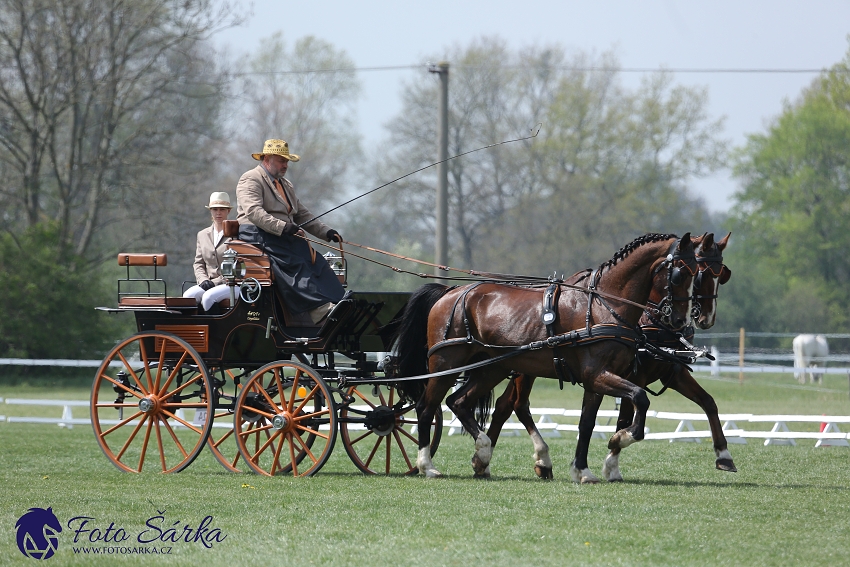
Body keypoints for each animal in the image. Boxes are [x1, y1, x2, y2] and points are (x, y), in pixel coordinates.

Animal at [394, 233, 692, 482]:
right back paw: (428, 465)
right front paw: (620, 438)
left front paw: (584, 469)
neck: (602, 306)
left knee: (459, 401)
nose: (681, 321)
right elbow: (640, 398)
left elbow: (587, 423)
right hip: (446, 364)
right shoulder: (597, 375)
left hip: (492, 368)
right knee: (426, 408)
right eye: (680, 275)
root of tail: (450, 292)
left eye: (697, 274)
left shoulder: (598, 380)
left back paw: (483, 453)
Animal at [486, 233, 732, 482]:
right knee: (518, 404)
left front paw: (724, 455)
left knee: (506, 405)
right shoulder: (629, 376)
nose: (704, 319)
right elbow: (628, 414)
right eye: (691, 274)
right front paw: (614, 456)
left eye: (721, 274)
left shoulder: (672, 375)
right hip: (524, 369)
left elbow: (708, 403)